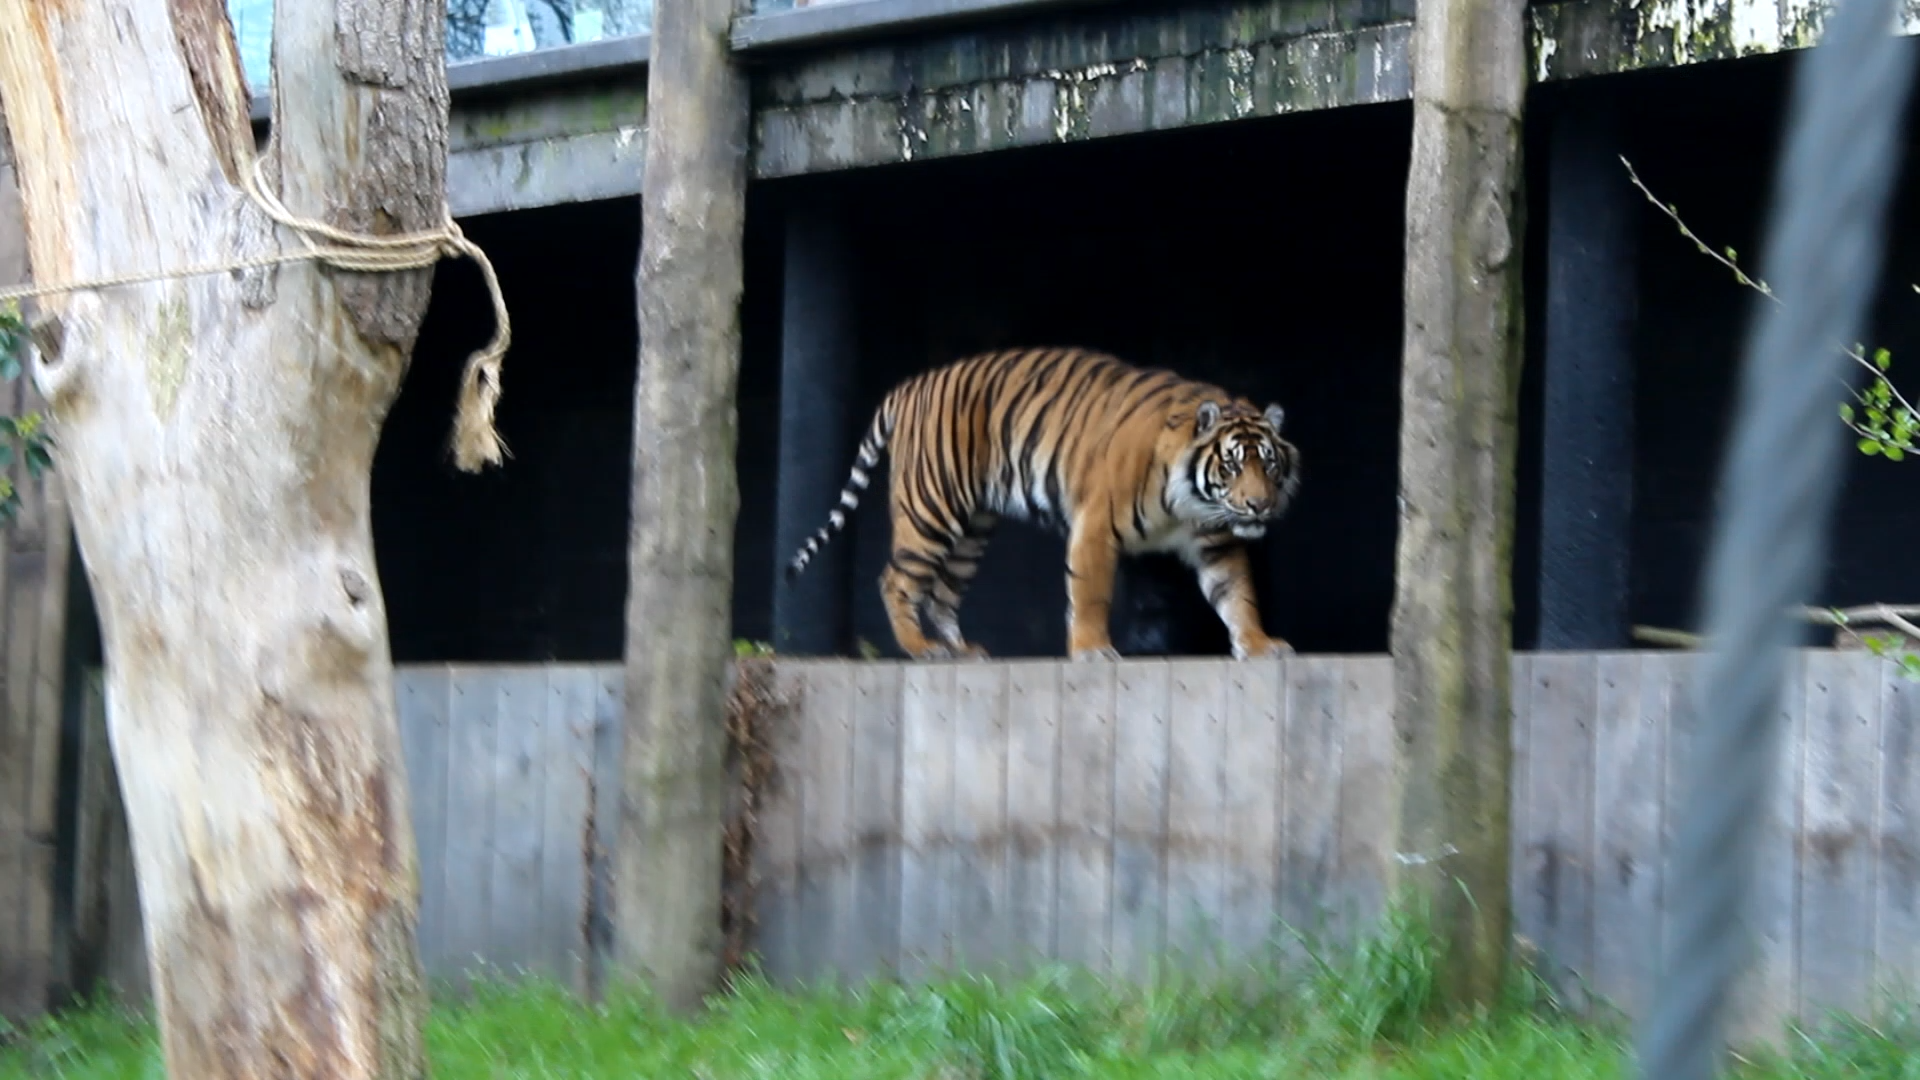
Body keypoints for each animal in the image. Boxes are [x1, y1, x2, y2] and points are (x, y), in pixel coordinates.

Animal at [784, 346, 1303, 662]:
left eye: (1269, 465)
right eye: (1232, 465)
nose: (1258, 506)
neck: (1189, 501)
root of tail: (909, 387)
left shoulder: (1217, 541)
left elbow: (1238, 595)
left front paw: (1258, 645)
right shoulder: (1096, 526)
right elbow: (1091, 593)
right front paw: (1092, 650)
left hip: (972, 528)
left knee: (943, 593)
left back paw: (961, 651)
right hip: (931, 509)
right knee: (897, 580)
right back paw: (920, 648)